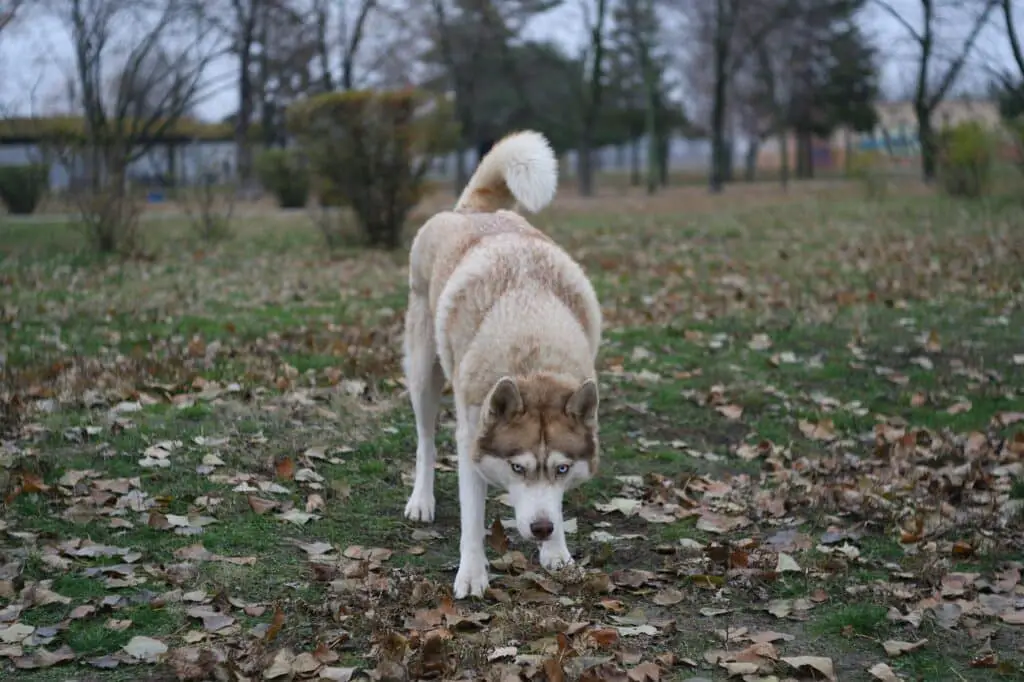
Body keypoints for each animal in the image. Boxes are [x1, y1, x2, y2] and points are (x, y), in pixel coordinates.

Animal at [399, 127, 602, 593]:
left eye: (563, 468)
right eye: (517, 466)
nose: (542, 529)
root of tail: (472, 211)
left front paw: (557, 552)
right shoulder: (472, 439)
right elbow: (472, 519)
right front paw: (472, 574)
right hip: (423, 373)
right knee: (425, 439)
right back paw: (421, 499)